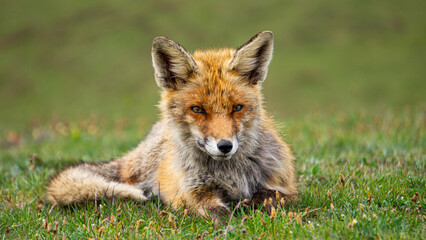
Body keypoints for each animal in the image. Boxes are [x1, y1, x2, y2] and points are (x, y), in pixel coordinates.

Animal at [46, 30, 298, 225]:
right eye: (197, 109)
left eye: (237, 108)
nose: (225, 146)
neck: (229, 174)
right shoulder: (190, 191)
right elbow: (216, 212)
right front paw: (233, 225)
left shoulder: (283, 185)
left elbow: (268, 199)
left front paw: (249, 209)